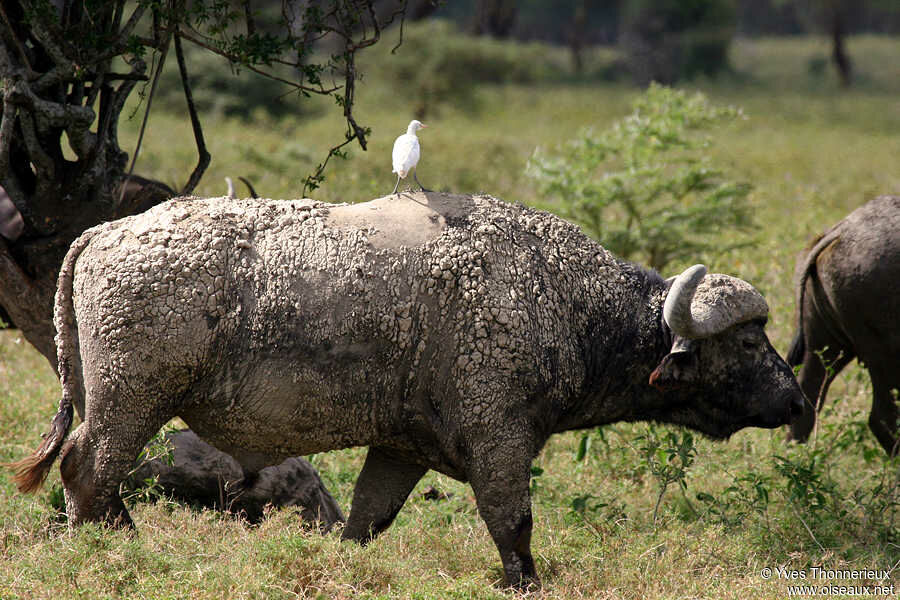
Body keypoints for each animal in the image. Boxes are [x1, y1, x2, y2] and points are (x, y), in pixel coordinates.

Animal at [12, 192, 800, 584]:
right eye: (748, 341)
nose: (797, 401)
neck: (561, 301)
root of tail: (106, 232)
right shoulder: (500, 439)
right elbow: (513, 525)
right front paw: (523, 580)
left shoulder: (401, 450)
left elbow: (366, 522)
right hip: (132, 399)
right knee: (88, 470)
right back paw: (116, 549)